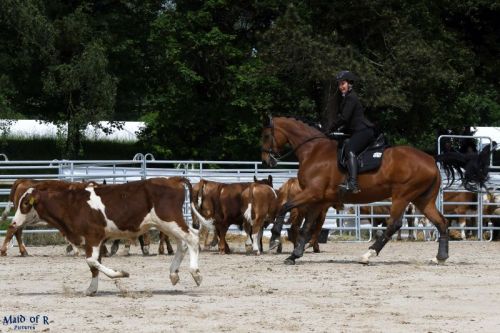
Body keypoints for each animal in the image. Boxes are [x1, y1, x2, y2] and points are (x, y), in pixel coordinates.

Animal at [10, 175, 200, 294]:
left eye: (25, 203)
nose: (13, 223)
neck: (71, 204)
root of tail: (172, 179)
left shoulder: (93, 236)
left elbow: (91, 261)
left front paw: (121, 273)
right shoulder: (94, 241)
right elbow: (94, 265)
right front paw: (91, 289)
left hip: (170, 220)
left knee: (192, 238)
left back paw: (195, 273)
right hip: (167, 224)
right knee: (182, 243)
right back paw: (173, 274)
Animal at [264, 115, 490, 264]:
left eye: (265, 135)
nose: (267, 160)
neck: (314, 151)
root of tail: (431, 158)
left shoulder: (312, 194)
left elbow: (285, 207)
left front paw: (274, 239)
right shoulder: (318, 200)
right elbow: (307, 227)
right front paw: (294, 255)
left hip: (402, 195)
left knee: (394, 224)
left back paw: (368, 254)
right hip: (423, 200)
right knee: (441, 222)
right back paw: (440, 257)